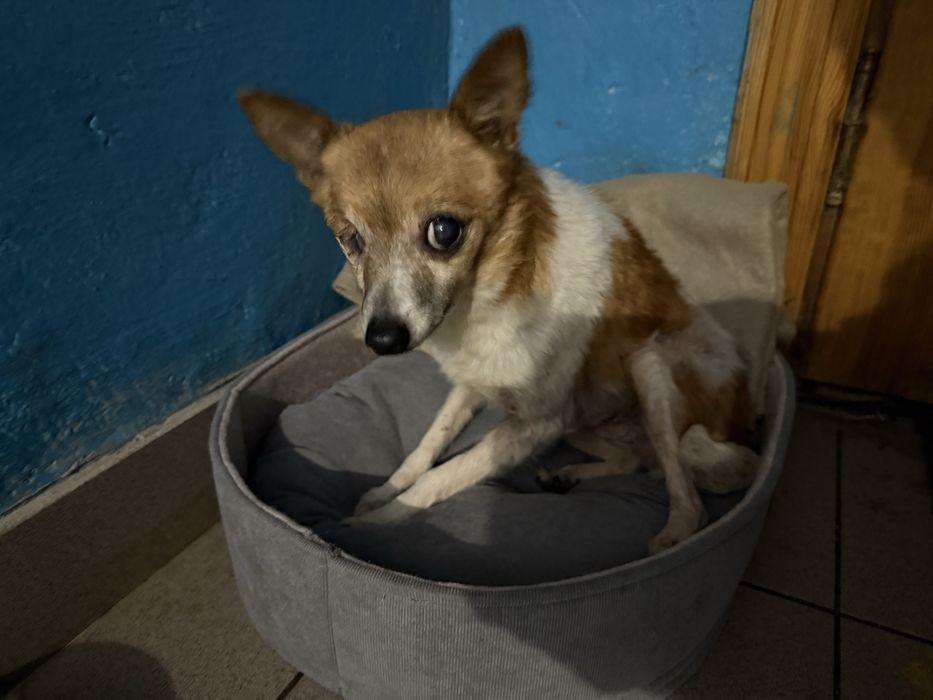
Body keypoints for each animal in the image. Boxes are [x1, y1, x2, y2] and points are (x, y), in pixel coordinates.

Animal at [239, 26, 759, 552]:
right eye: (350, 240)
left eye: (444, 232)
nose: (382, 340)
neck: (489, 291)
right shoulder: (483, 390)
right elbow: (429, 442)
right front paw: (384, 490)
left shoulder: (536, 423)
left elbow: (442, 476)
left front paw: (374, 523)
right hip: (585, 421)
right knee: (637, 460)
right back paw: (569, 475)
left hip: (649, 366)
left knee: (687, 497)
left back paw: (671, 536)